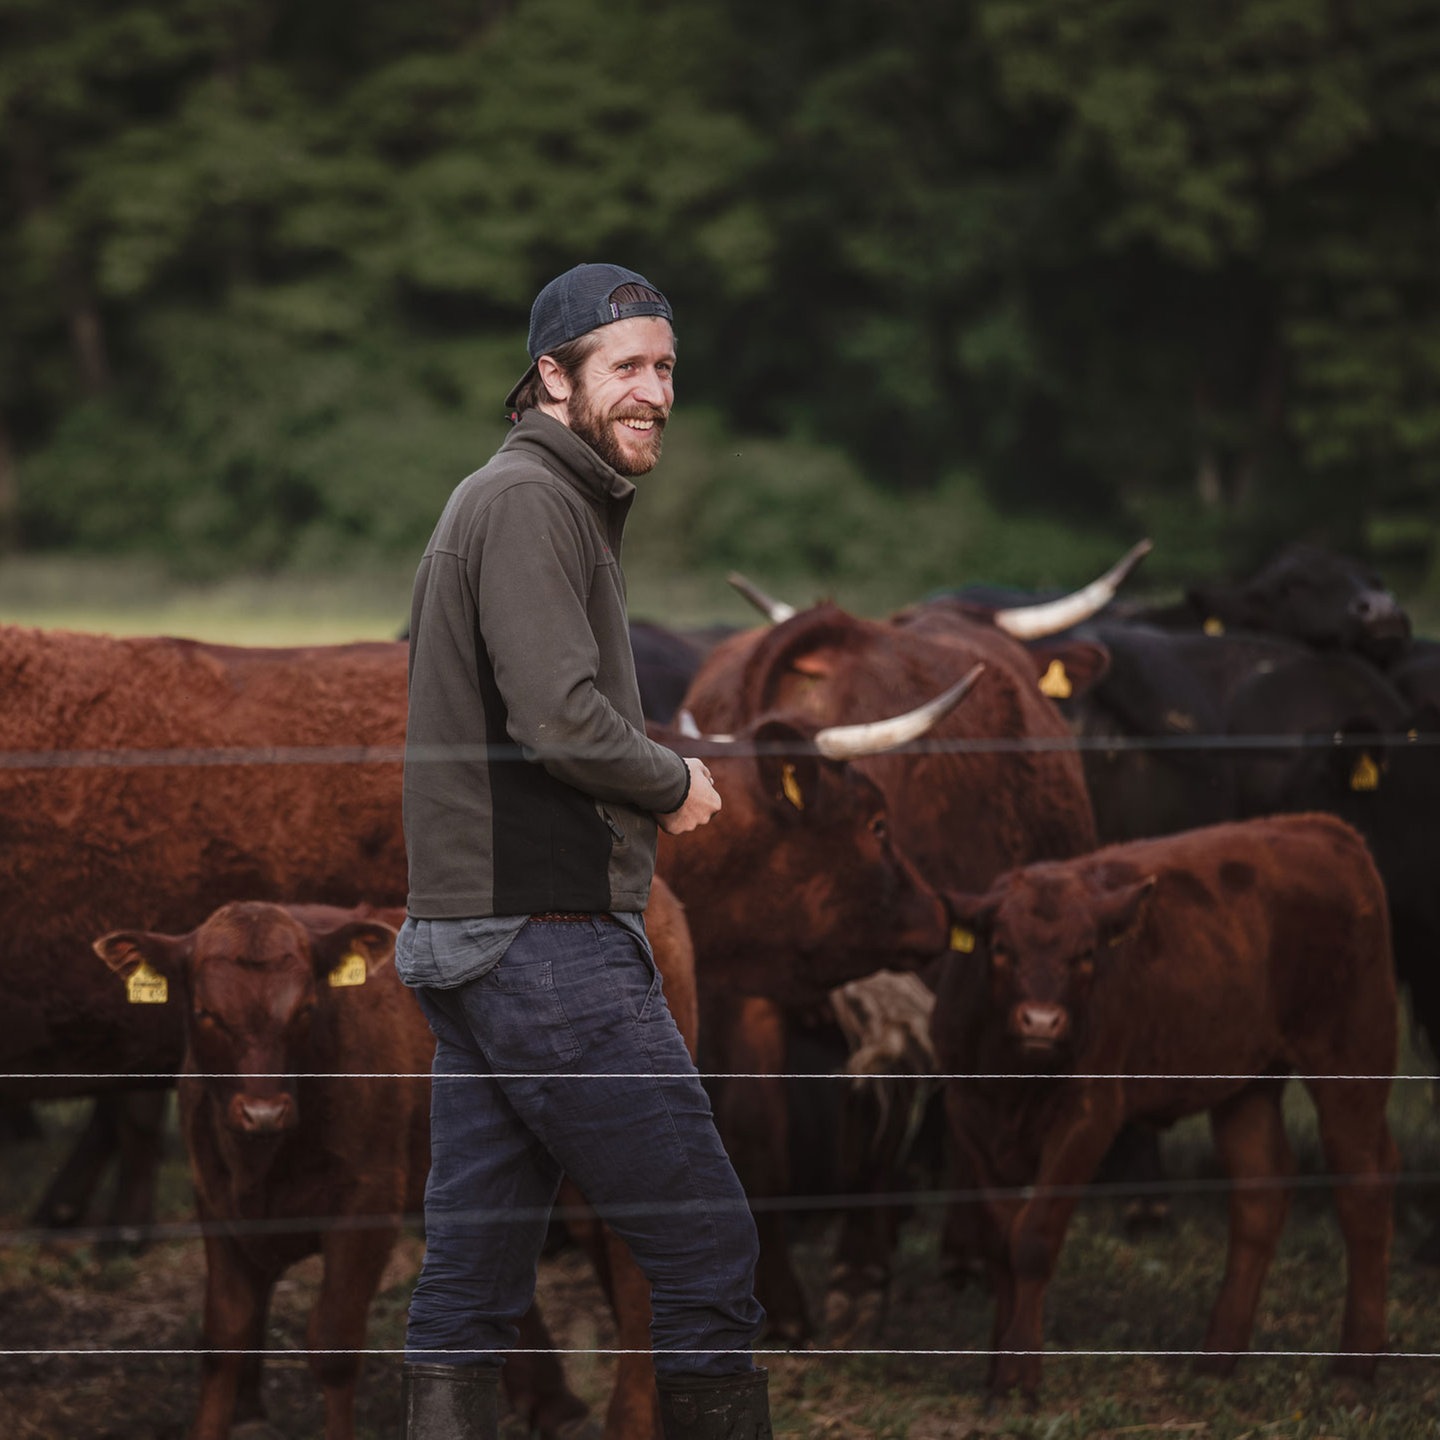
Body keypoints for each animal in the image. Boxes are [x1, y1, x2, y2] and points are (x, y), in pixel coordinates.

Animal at [933, 817, 1393, 1388]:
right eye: (999, 947)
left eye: (1086, 954)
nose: (1041, 1021)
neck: (1014, 1080)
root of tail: (1324, 830)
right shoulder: (970, 1116)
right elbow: (1001, 1245)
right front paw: (1000, 1370)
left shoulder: (1088, 1115)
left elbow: (1034, 1239)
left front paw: (1021, 1377)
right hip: (1247, 1083)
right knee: (1260, 1191)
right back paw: (1216, 1359)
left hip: (1352, 1065)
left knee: (1362, 1192)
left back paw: (1354, 1367)